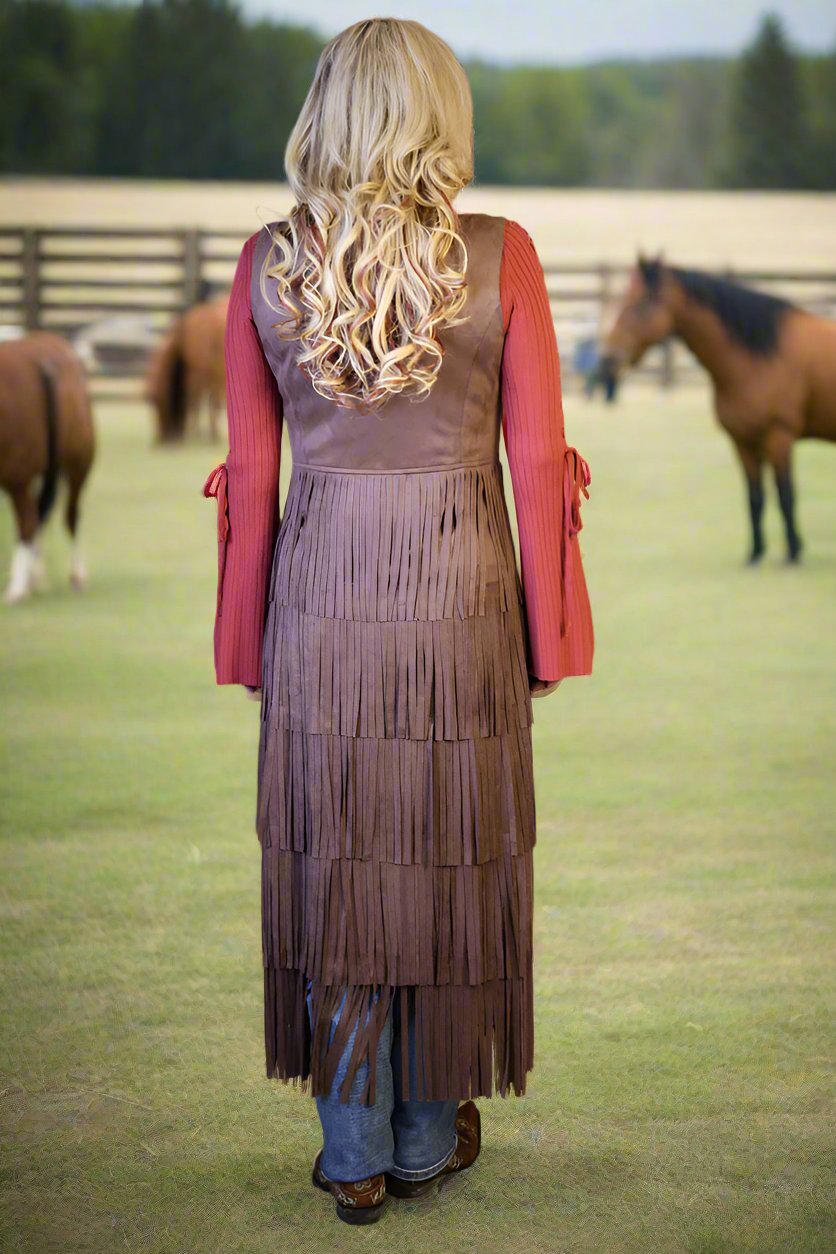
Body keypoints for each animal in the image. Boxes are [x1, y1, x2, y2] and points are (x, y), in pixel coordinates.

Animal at [145, 294, 226, 446]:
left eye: (155, 400)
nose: (160, 441)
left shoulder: (202, 377)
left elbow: (197, 404)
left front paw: (199, 435)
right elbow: (204, 404)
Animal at [601, 257, 836, 561]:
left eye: (641, 303)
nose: (607, 359)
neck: (756, 358)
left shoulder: (779, 437)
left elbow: (786, 496)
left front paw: (793, 553)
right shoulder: (743, 441)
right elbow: (755, 497)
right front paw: (755, 554)